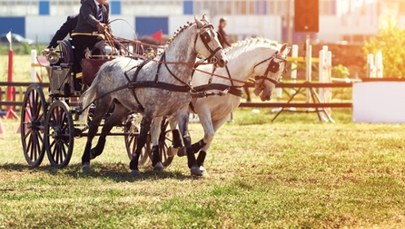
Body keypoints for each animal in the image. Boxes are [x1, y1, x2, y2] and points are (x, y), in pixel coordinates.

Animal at [79, 16, 227, 174]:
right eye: (206, 36)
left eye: (216, 35)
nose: (223, 60)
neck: (170, 74)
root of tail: (107, 64)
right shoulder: (150, 111)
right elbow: (143, 136)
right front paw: (134, 165)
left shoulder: (181, 111)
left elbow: (186, 136)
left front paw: (194, 166)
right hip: (104, 101)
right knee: (93, 128)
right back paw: (86, 160)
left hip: (122, 107)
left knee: (106, 126)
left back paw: (95, 151)